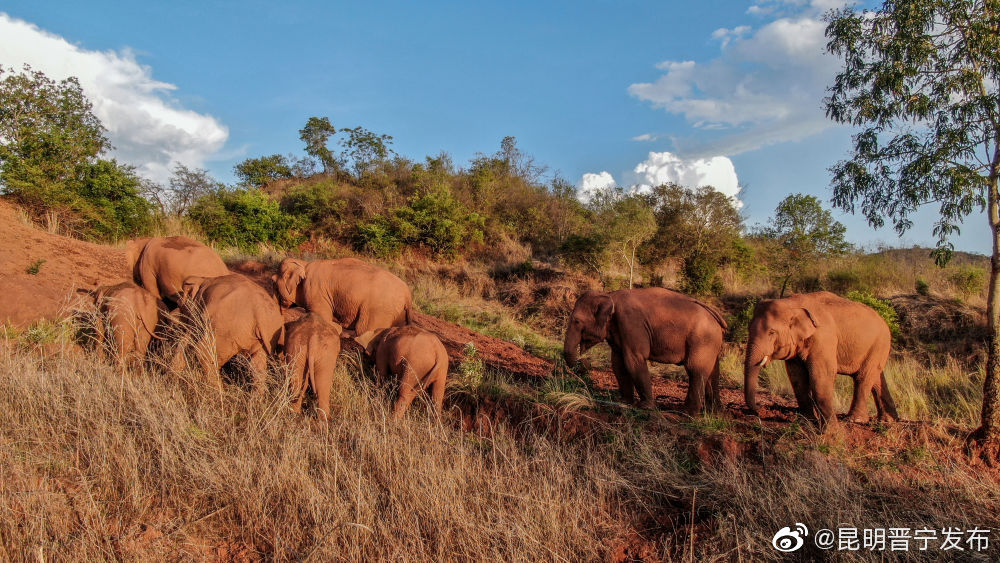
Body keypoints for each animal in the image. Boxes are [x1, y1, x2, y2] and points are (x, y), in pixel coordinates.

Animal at [273, 257, 413, 335]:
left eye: (273, 280)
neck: (304, 264)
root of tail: (408, 295)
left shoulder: (316, 291)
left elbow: (323, 319)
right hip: (398, 314)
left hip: (379, 310)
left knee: (364, 330)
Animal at [564, 288, 728, 415]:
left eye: (577, 321)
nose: (585, 362)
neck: (610, 295)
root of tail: (716, 316)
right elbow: (617, 363)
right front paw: (624, 402)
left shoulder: (631, 324)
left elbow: (633, 360)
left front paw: (645, 407)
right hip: (711, 342)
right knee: (713, 372)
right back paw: (714, 412)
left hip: (702, 340)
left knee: (695, 369)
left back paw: (686, 413)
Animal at [743, 291, 898, 429]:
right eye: (748, 329)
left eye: (771, 332)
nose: (757, 410)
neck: (792, 303)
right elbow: (797, 376)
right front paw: (806, 420)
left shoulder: (823, 338)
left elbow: (821, 374)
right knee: (876, 379)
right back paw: (888, 421)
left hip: (879, 345)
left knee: (863, 378)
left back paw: (855, 420)